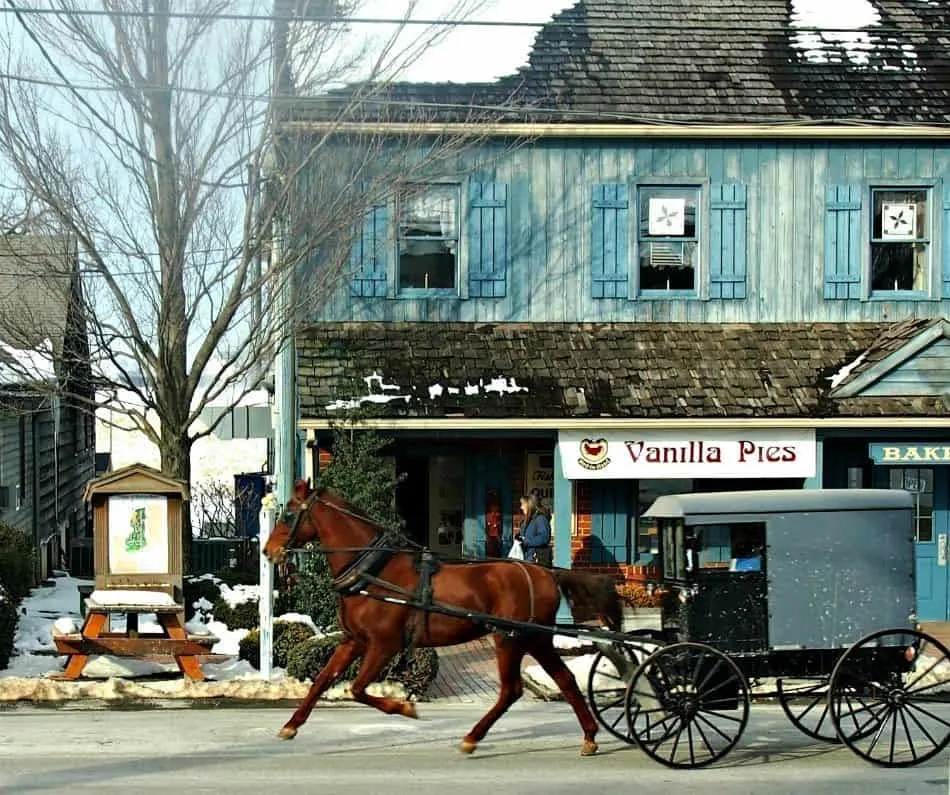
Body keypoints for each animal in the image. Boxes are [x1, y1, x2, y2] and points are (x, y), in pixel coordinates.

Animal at [260, 478, 624, 760]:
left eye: (289, 513)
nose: (267, 551)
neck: (372, 570)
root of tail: (545, 573)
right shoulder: (354, 641)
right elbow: (323, 680)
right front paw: (290, 725)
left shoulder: (384, 644)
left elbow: (358, 688)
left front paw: (405, 709)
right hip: (534, 638)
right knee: (564, 679)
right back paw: (589, 736)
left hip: (509, 638)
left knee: (512, 689)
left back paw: (472, 738)